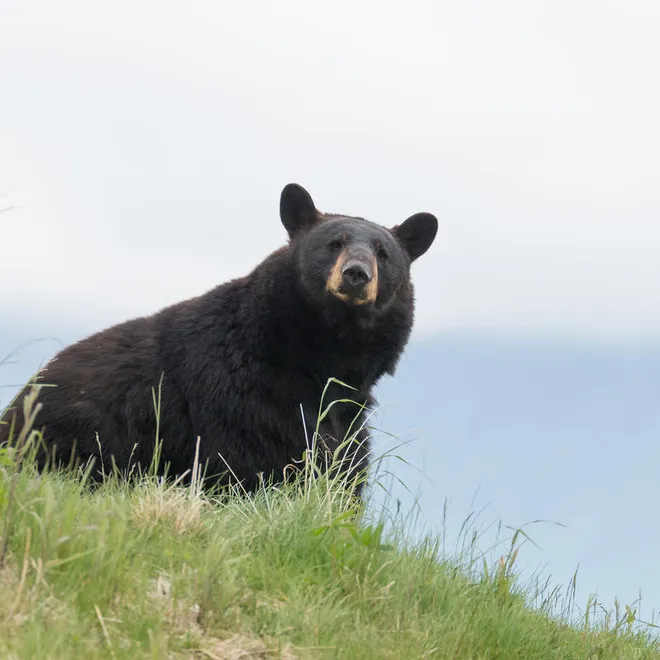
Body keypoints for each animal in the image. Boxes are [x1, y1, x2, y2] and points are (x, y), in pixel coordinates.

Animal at [0, 184, 438, 494]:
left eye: (383, 253)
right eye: (334, 244)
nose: (356, 274)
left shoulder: (348, 414)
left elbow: (344, 468)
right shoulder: (239, 394)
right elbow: (252, 459)